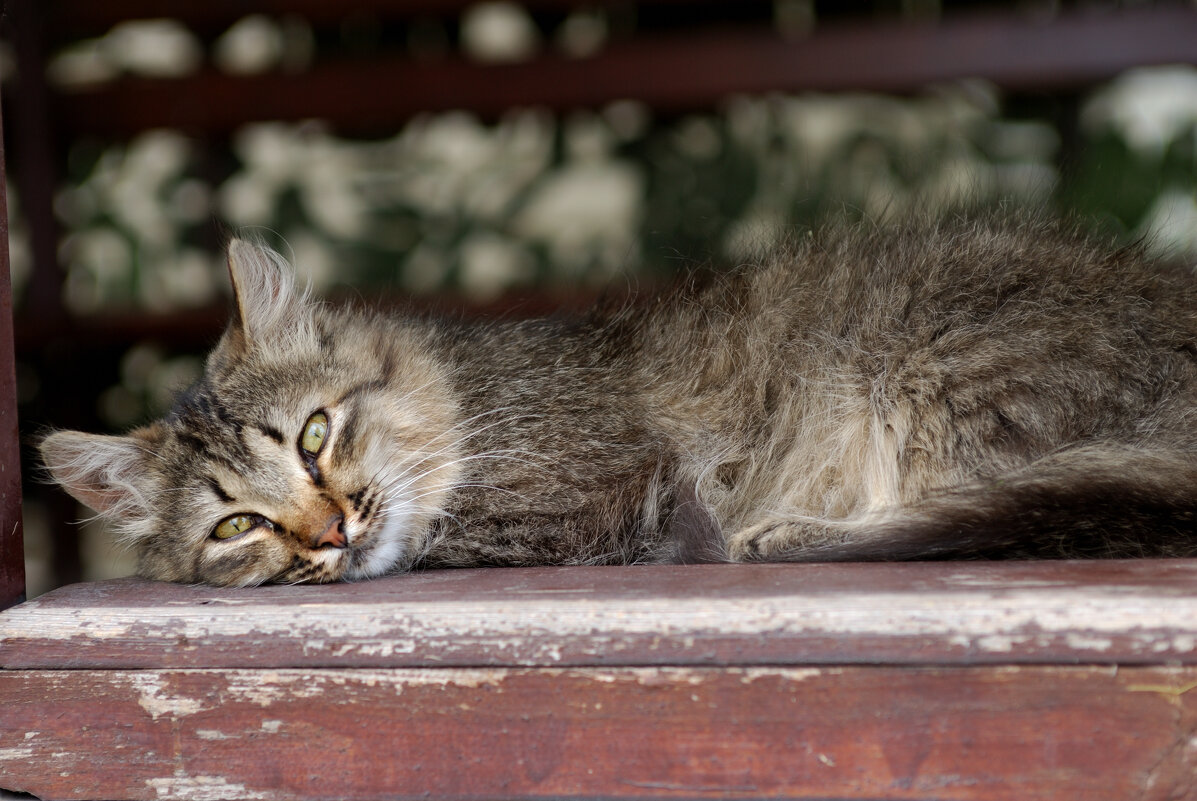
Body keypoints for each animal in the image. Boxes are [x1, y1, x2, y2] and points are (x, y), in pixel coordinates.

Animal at [37, 215, 1197, 584]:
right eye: (236, 523)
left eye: (315, 434)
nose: (328, 530)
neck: (464, 396)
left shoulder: (606, 487)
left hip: (935, 362)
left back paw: (783, 533)